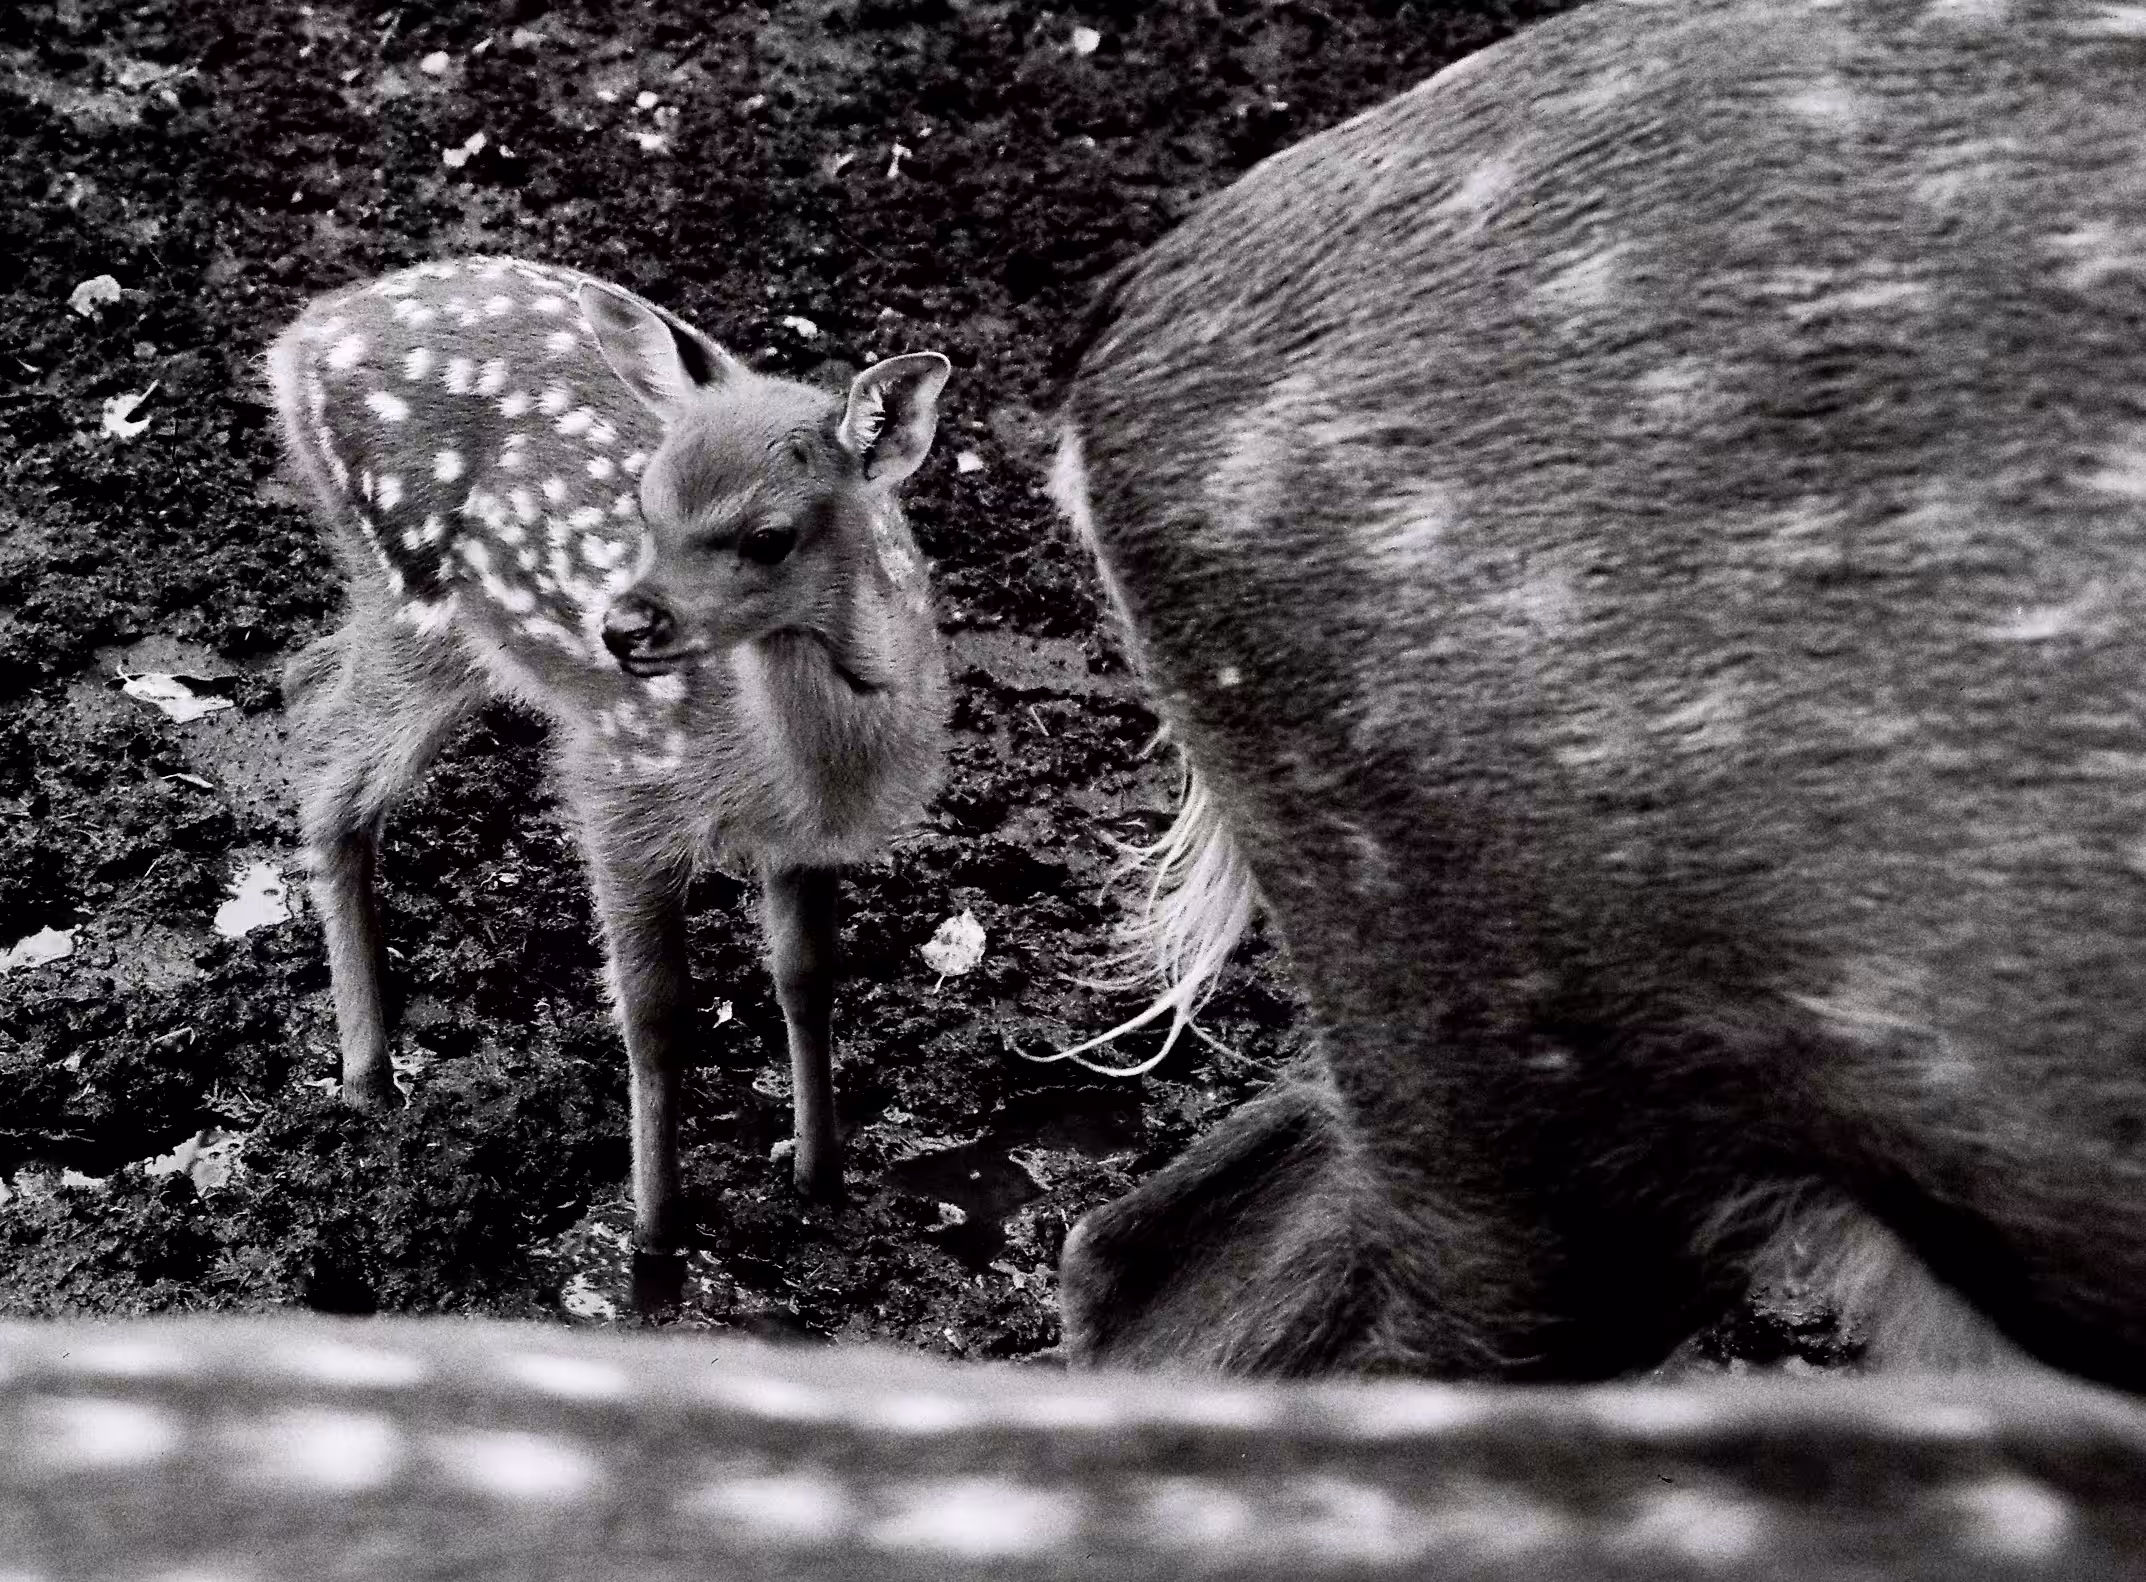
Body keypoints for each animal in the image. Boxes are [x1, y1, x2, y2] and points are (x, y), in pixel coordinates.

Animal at [267, 256, 951, 1285]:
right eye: (646, 504)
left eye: (769, 535)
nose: (622, 628)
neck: (797, 770)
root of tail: (297, 341)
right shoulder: (618, 783)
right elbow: (657, 1016)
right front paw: (655, 1242)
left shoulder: (802, 842)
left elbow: (806, 977)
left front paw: (820, 1178)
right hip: (413, 594)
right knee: (329, 774)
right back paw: (367, 1077)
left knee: (303, 687)